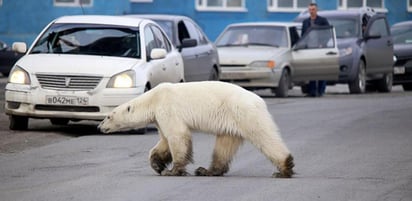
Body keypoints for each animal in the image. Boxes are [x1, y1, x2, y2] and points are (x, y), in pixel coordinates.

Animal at [98, 80, 294, 177]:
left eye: (108, 116)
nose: (100, 127)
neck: (153, 98)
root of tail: (259, 100)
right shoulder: (160, 117)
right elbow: (164, 141)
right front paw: (158, 165)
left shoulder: (167, 108)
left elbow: (177, 136)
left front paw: (173, 171)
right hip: (231, 122)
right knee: (224, 145)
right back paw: (207, 170)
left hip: (244, 113)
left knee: (264, 136)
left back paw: (284, 168)